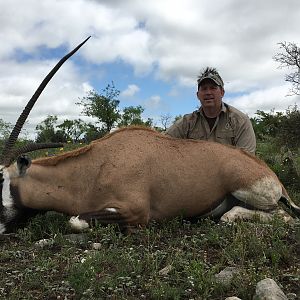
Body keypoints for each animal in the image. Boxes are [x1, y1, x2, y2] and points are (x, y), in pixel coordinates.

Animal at [0, 38, 300, 234]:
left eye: (0, 181)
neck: (94, 169)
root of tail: (271, 175)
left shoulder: (135, 211)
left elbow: (74, 220)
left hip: (248, 190)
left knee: (281, 217)